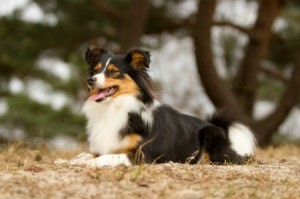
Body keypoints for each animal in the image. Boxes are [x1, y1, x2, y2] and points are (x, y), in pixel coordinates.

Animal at [75, 47, 255, 166]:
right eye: (96, 70)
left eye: (113, 71)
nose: (90, 80)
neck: (115, 106)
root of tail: (219, 127)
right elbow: (86, 153)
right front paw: (73, 160)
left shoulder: (142, 155)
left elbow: (108, 157)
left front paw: (88, 164)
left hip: (210, 134)